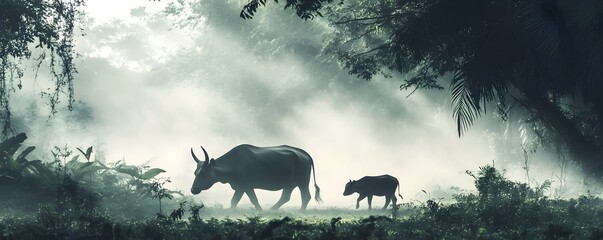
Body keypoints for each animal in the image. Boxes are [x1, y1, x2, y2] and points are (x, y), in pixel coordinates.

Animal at [190, 144, 320, 210]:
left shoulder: (245, 186)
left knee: (306, 196)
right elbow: (236, 201)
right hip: (290, 184)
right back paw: (271, 210)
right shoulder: (241, 187)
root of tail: (304, 154)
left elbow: (250, 200)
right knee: (286, 197)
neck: (234, 163)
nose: (193, 189)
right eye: (195, 172)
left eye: (203, 173)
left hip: (302, 182)